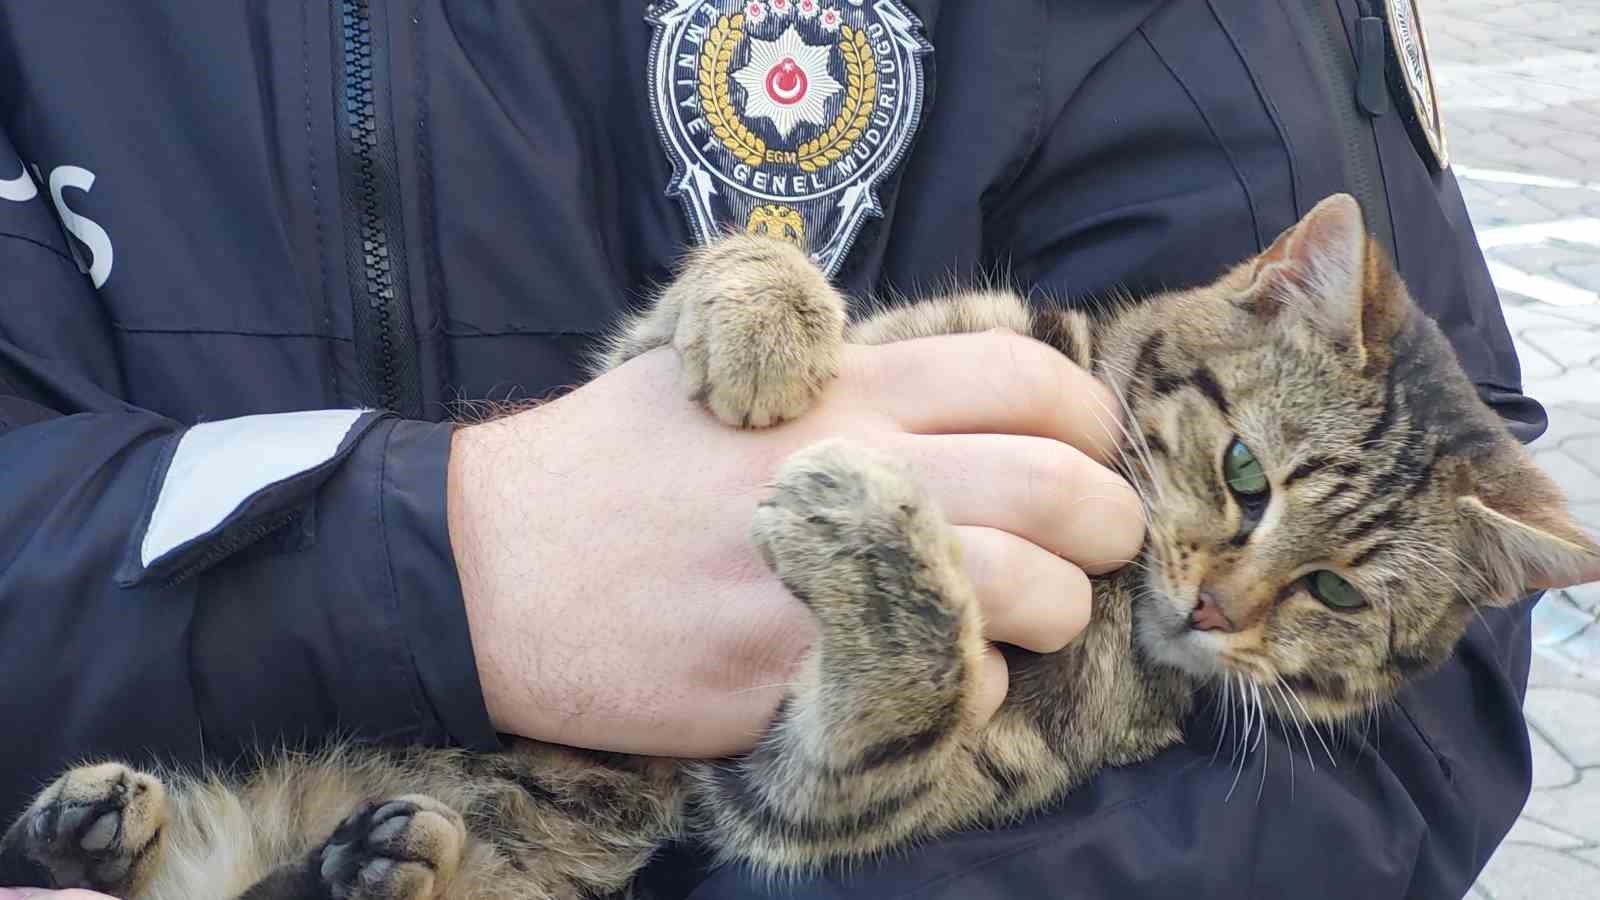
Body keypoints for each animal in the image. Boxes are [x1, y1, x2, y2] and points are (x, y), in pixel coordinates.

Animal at [6, 190, 1593, 896]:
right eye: (1247, 472)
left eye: (1330, 594)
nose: (1217, 609)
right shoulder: (650, 361)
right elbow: (716, 282)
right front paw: (765, 315)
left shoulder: (821, 797)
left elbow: (911, 701)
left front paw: (878, 542)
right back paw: (107, 822)